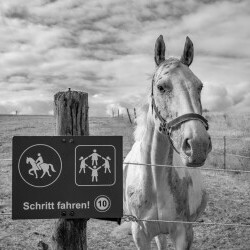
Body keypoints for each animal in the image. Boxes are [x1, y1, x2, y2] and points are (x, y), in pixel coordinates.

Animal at [123, 35, 211, 250]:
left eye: (200, 86)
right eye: (161, 87)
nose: (198, 145)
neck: (155, 184)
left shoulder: (184, 233)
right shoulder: (140, 234)